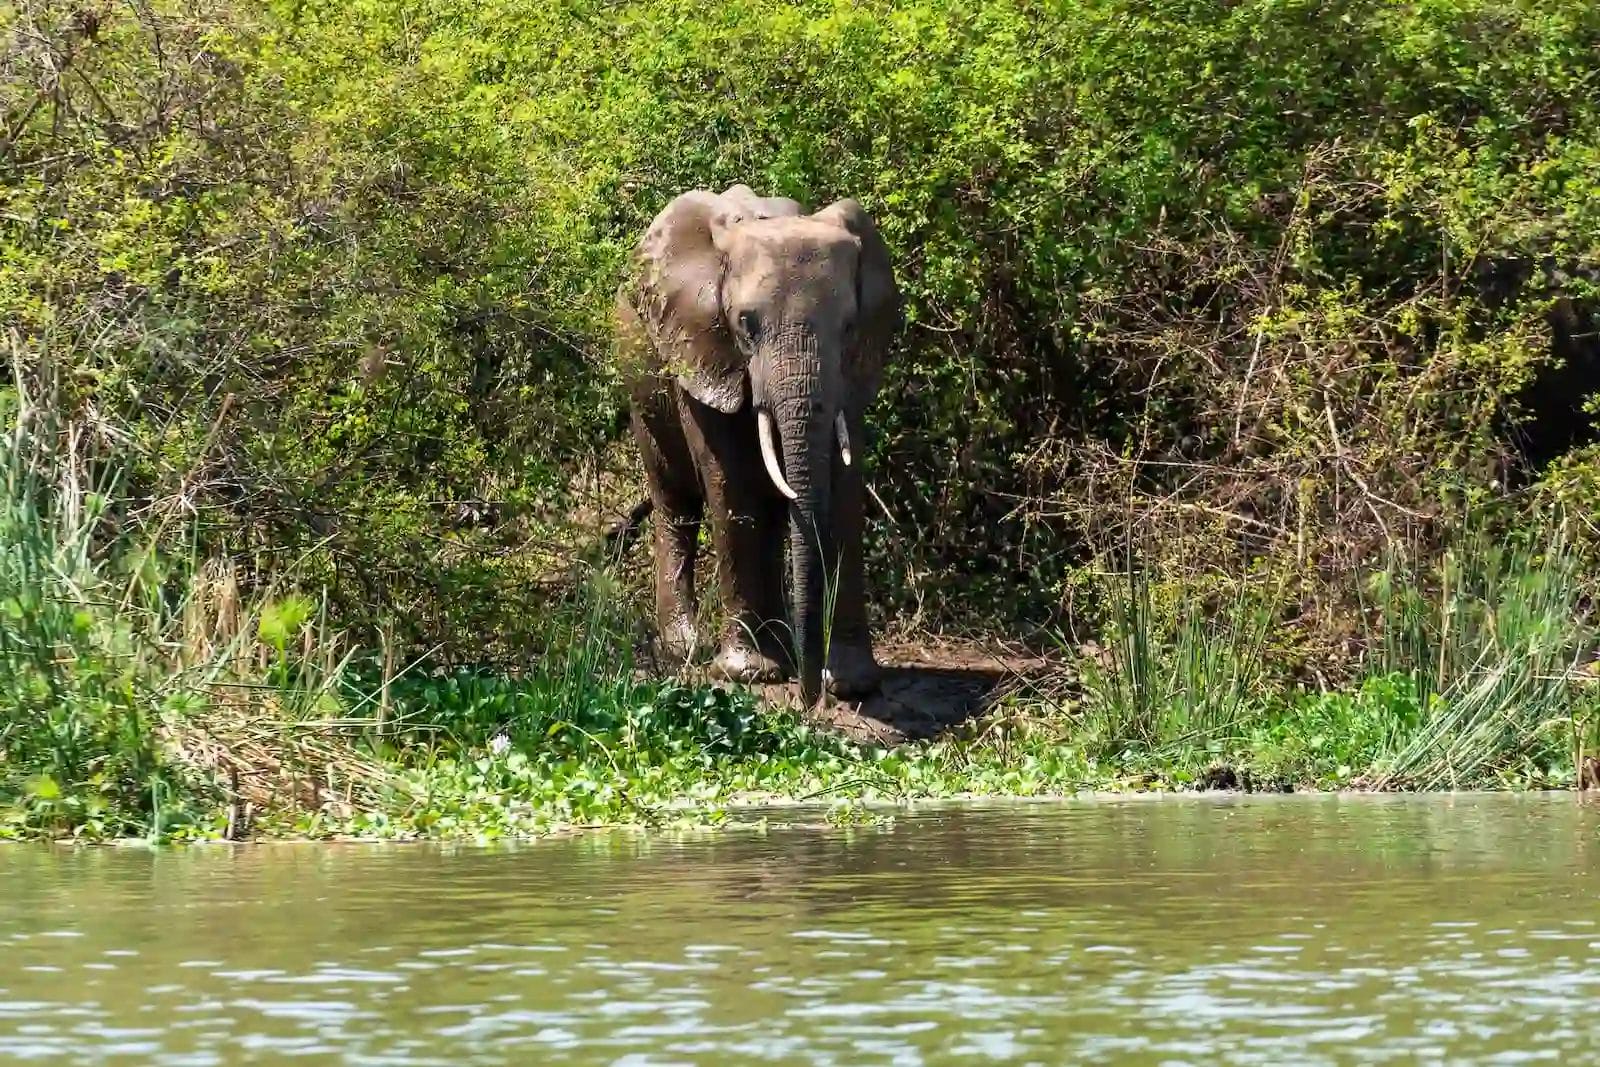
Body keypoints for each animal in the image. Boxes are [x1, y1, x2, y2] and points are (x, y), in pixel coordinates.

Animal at [615, 183, 902, 707]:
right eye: (746, 324)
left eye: (849, 328)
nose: (811, 699)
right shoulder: (703, 347)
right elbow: (735, 487)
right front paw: (749, 675)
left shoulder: (851, 371)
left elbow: (842, 491)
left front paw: (854, 684)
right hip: (639, 374)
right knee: (675, 501)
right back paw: (686, 648)